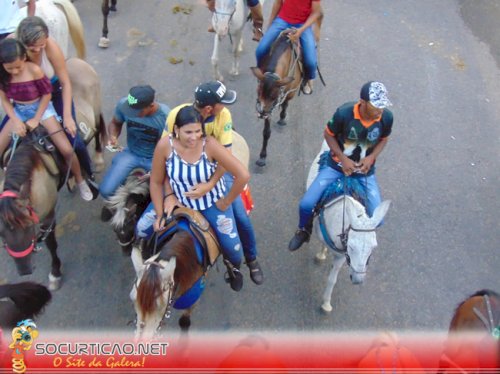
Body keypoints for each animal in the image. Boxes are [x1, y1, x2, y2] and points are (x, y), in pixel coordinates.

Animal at [252, 30, 302, 167]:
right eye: (258, 91)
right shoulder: (267, 107)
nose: (261, 113)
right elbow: (266, 132)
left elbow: (285, 104)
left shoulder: (287, 94)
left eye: (273, 96)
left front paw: (282, 117)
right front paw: (262, 157)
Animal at [306, 142, 392, 314]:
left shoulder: (341, 255)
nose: (358, 280)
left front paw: (326, 303)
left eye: (374, 247)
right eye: (351, 246)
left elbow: (332, 279)